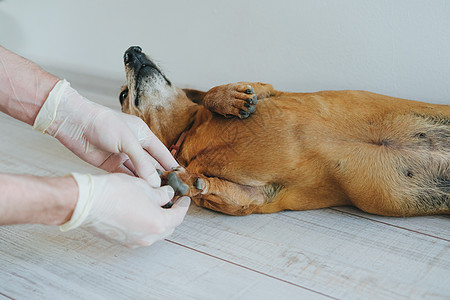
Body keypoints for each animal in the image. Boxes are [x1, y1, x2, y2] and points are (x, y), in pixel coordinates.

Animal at [118, 45, 448, 217]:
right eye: (123, 95)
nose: (132, 50)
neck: (188, 136)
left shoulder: (266, 89)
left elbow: (214, 92)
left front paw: (230, 100)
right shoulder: (257, 197)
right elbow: (219, 191)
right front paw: (184, 181)